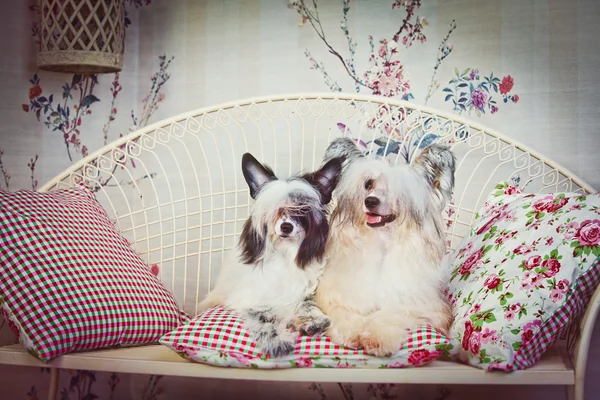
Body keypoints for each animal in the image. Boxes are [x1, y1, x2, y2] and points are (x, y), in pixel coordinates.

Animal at [198, 152, 342, 356]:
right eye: (273, 209)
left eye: (302, 209)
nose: (286, 226)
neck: (283, 253)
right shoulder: (249, 299)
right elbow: (265, 317)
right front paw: (278, 340)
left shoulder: (301, 291)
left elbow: (304, 304)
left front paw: (312, 319)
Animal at [314, 138, 454, 356]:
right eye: (368, 184)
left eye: (399, 191)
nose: (370, 201)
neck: (381, 244)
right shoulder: (334, 295)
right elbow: (341, 311)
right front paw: (350, 333)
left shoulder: (421, 306)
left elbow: (390, 313)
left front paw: (375, 337)